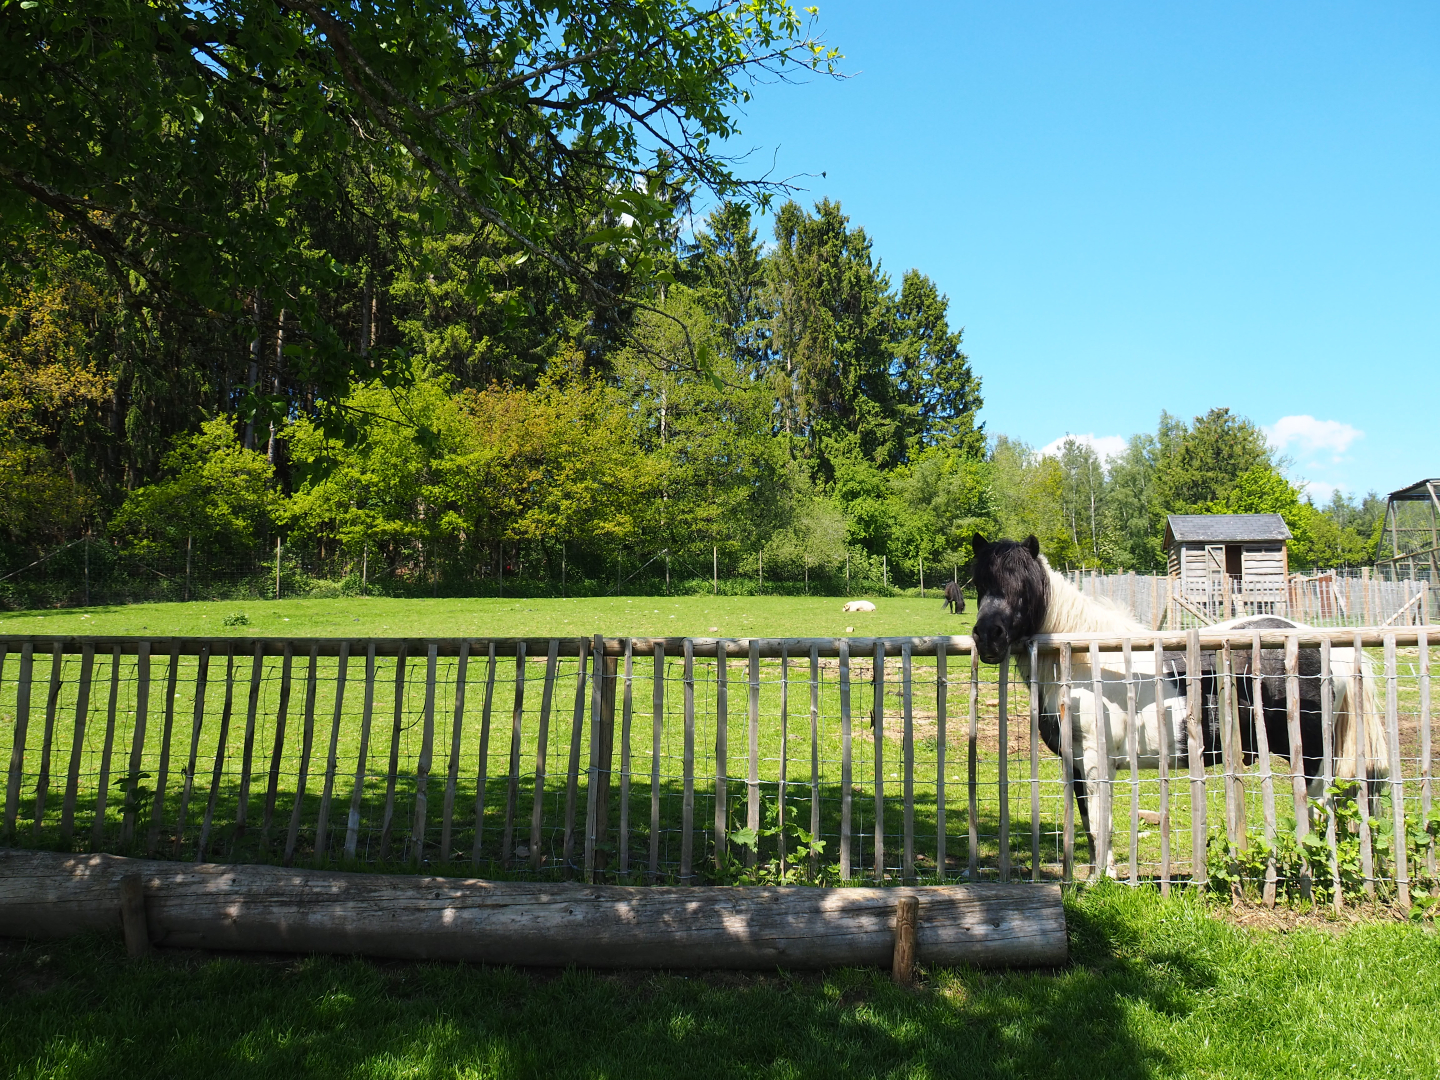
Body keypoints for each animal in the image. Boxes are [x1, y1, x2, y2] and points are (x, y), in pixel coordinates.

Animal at [969, 532, 1386, 878]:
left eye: (1023, 586)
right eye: (981, 584)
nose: (989, 636)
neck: (1086, 662)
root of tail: (1335, 649)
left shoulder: (1096, 759)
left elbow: (1102, 821)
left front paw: (1101, 880)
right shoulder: (1076, 763)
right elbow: (1090, 821)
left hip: (1314, 758)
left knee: (1318, 808)